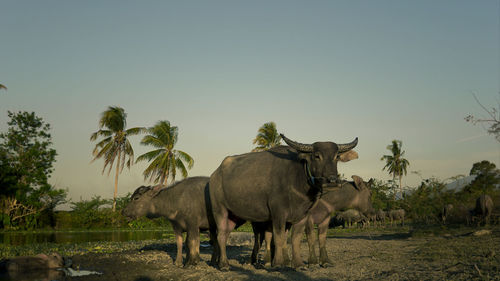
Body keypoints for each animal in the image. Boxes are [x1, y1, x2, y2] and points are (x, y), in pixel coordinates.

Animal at [209, 134, 358, 270]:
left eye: (337, 157)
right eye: (317, 156)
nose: (332, 181)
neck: (297, 181)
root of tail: (215, 174)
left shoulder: (302, 215)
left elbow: (295, 239)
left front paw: (298, 264)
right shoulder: (278, 213)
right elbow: (279, 238)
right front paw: (278, 264)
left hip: (234, 215)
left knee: (226, 234)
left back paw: (221, 262)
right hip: (219, 209)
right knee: (221, 234)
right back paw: (224, 264)